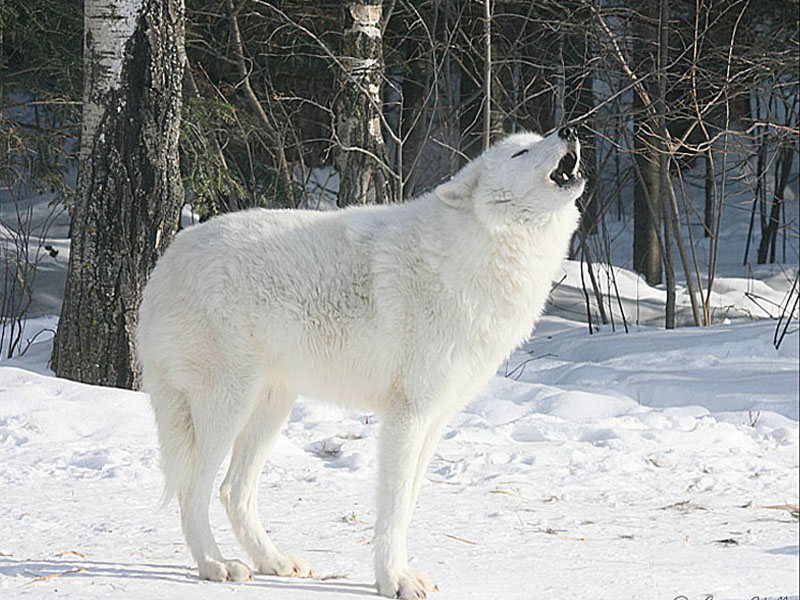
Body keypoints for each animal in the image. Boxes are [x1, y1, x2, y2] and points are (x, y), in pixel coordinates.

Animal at [138, 126, 584, 596]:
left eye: (540, 138)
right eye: (522, 151)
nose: (569, 130)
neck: (481, 252)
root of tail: (167, 260)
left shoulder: (434, 420)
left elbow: (408, 504)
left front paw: (402, 572)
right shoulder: (407, 416)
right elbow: (392, 507)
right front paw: (393, 580)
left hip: (270, 411)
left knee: (232, 492)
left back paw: (274, 562)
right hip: (228, 409)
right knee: (194, 490)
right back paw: (215, 564)